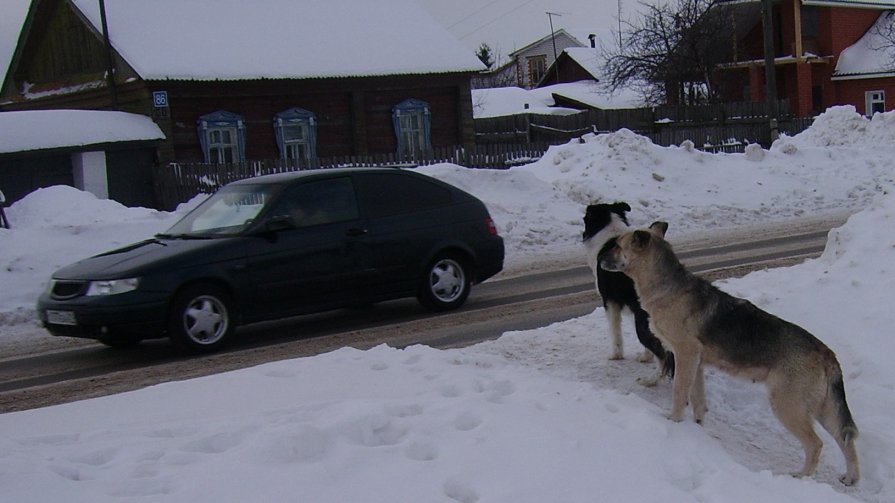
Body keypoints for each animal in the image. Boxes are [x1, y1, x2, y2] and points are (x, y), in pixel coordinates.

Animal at [580, 201, 672, 382]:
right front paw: (645, 357)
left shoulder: (610, 301)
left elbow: (615, 331)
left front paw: (615, 356)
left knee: (663, 356)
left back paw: (651, 381)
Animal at [600, 224, 860, 484]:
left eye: (618, 245)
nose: (599, 259)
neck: (666, 287)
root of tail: (827, 353)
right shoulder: (696, 364)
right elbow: (697, 401)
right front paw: (696, 428)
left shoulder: (685, 355)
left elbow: (679, 392)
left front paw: (673, 420)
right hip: (823, 409)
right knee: (846, 439)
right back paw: (851, 477)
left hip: (787, 405)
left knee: (816, 444)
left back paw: (801, 476)